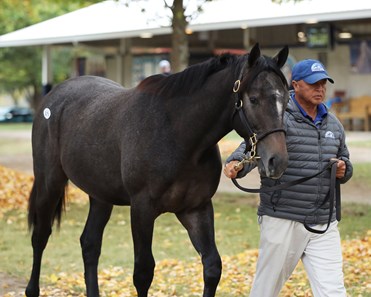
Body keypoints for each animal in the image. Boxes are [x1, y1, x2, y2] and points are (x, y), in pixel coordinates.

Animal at [26, 42, 290, 294]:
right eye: (253, 99)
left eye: (286, 100)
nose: (277, 161)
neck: (178, 134)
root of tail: (53, 97)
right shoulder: (142, 209)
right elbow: (143, 273)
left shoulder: (196, 209)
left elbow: (212, 266)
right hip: (50, 183)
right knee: (40, 236)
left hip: (101, 195)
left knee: (90, 243)